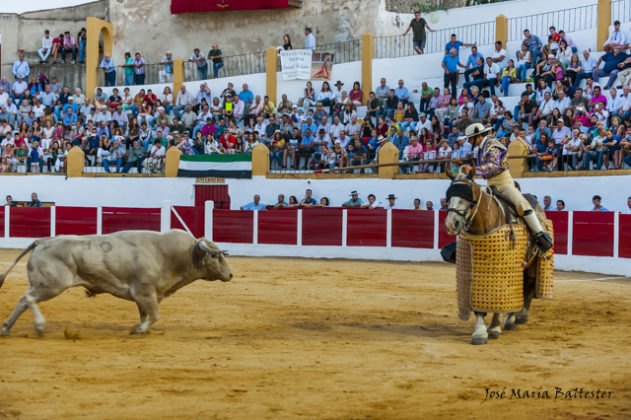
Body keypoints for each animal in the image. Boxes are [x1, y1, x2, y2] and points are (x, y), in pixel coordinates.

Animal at [0, 228, 232, 336]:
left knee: (23, 301)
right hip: (51, 284)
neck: (169, 254)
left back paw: (7, 328)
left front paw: (142, 329)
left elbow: (145, 314)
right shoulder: (145, 291)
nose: (230, 275)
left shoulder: (144, 296)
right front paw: (139, 330)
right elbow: (155, 315)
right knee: (28, 298)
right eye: (214, 256)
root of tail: (42, 241)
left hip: (41, 284)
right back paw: (39, 326)